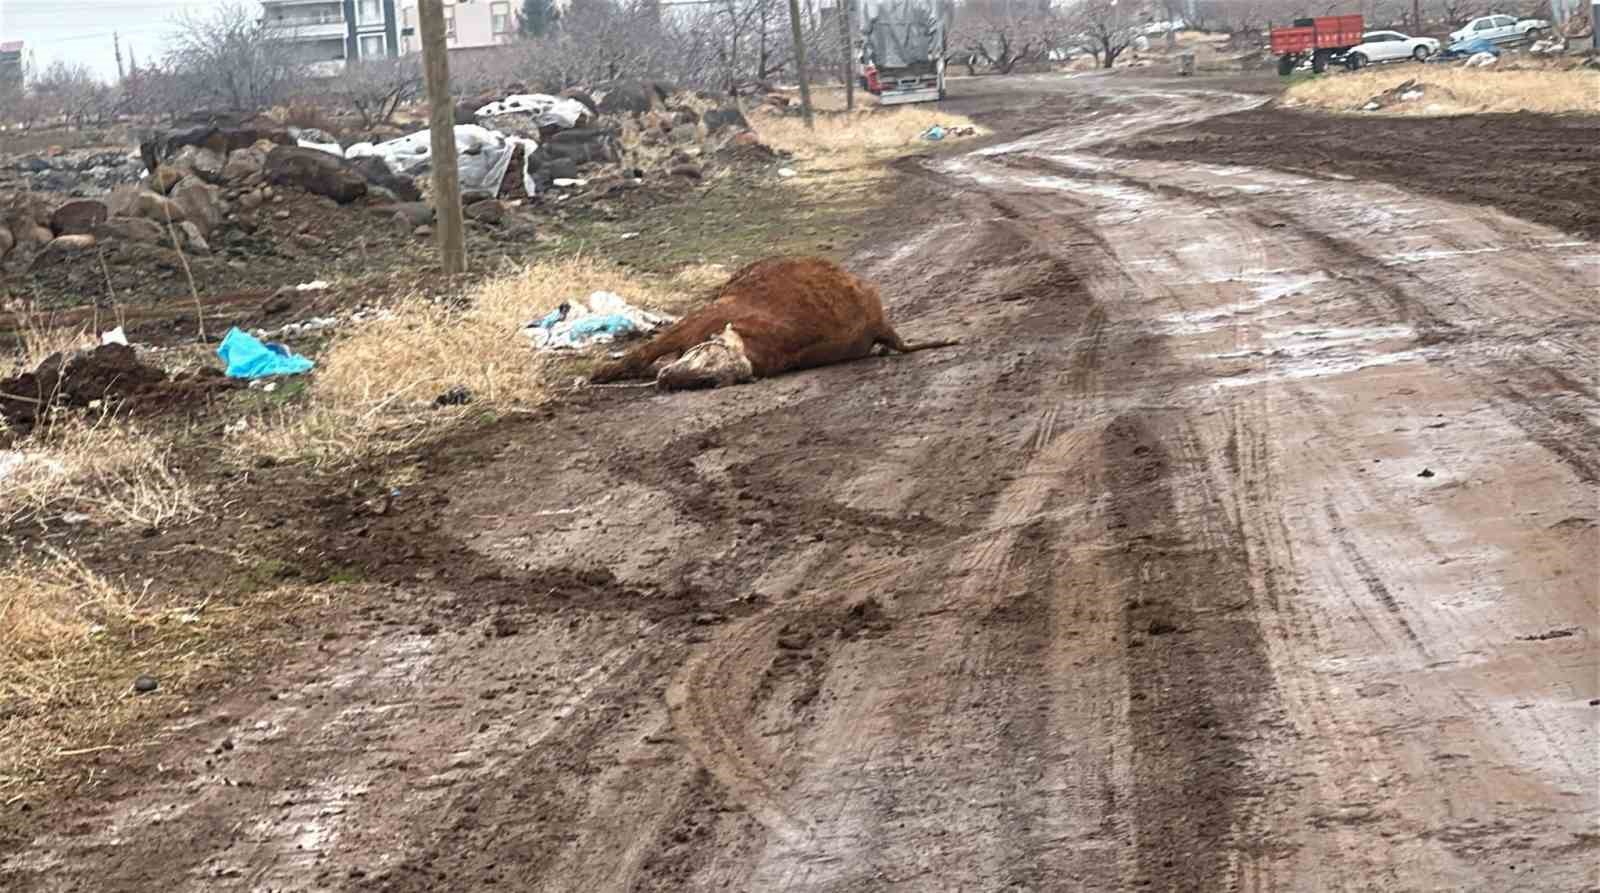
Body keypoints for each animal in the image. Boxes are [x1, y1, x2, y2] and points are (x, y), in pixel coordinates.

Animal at [592, 254, 953, 390]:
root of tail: (878, 321)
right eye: (707, 358)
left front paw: (602, 373)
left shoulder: (696, 322)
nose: (669, 381)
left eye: (713, 379)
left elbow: (643, 353)